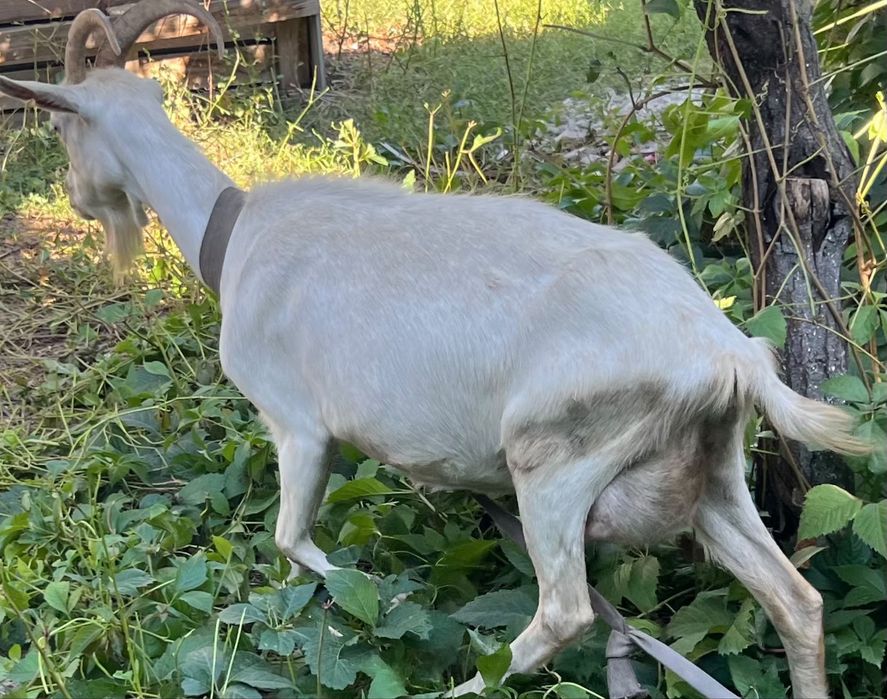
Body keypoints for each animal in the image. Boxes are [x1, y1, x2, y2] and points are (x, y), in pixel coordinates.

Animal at [0, 3, 869, 696]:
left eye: (60, 123)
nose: (76, 199)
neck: (233, 232)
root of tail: (728, 352)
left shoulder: (298, 424)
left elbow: (293, 543)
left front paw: (376, 598)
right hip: (715, 469)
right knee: (797, 601)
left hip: (556, 460)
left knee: (565, 612)